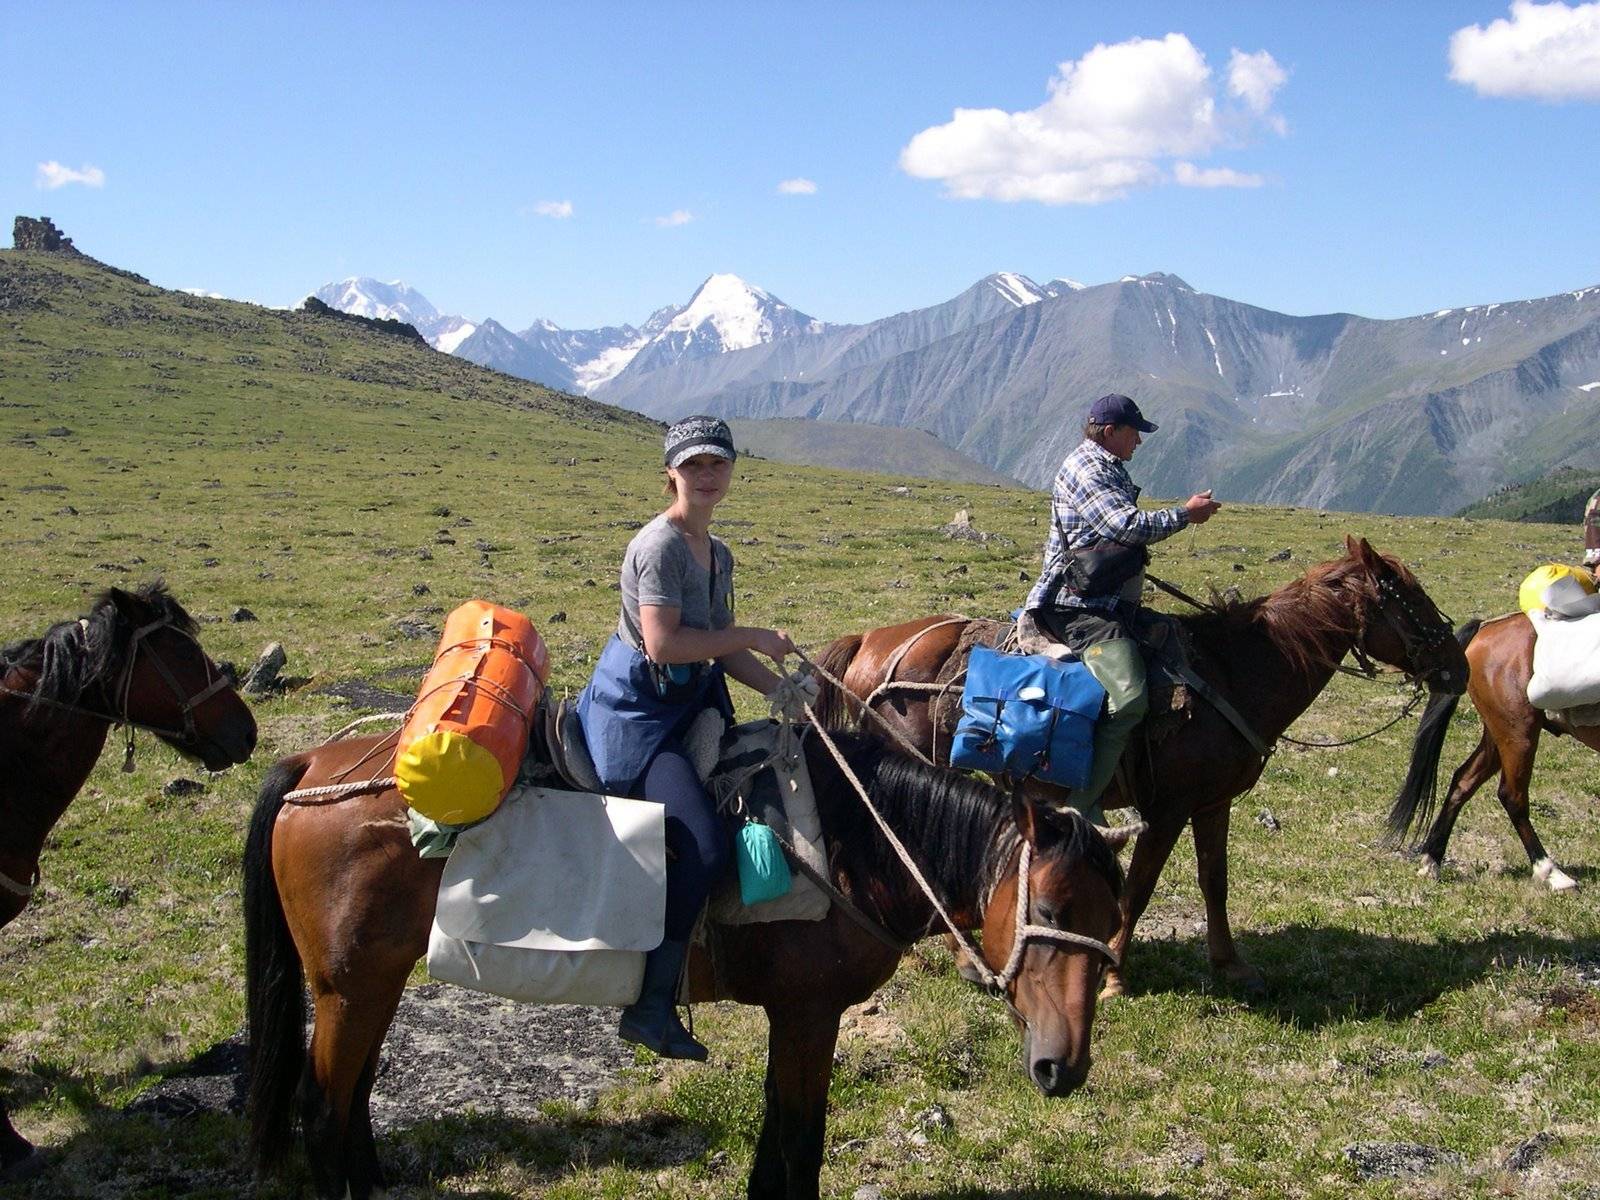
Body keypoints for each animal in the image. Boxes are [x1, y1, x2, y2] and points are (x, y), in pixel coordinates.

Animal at [246, 723, 1126, 1200]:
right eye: (1049, 912)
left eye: (1115, 921)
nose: (1065, 1068)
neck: (854, 849)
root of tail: (314, 770)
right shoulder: (810, 1015)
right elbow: (800, 1139)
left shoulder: (792, 1016)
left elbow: (775, 1129)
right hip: (349, 987)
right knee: (322, 1109)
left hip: (372, 981)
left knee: (354, 1097)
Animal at [806, 540, 1465, 998]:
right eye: (1410, 598)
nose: (1458, 664)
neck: (1233, 673)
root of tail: (872, 641)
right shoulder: (1166, 809)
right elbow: (1141, 888)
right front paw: (1116, 975)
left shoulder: (1212, 803)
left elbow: (1214, 879)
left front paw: (1231, 964)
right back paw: (961, 958)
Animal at [1388, 620, 1587, 896]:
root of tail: (1487, 625)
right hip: (1518, 735)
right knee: (1512, 796)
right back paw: (1551, 872)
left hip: (1498, 735)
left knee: (1464, 781)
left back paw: (1431, 860)